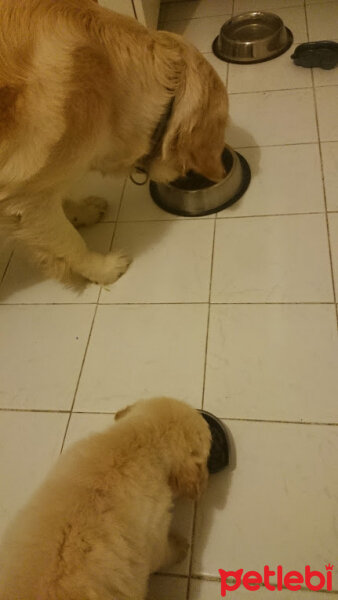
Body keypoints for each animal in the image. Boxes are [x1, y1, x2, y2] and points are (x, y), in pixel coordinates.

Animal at [0, 0, 228, 286]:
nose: (216, 173)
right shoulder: (23, 200)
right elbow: (69, 242)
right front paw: (103, 268)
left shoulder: (42, 182)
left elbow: (61, 199)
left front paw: (82, 212)